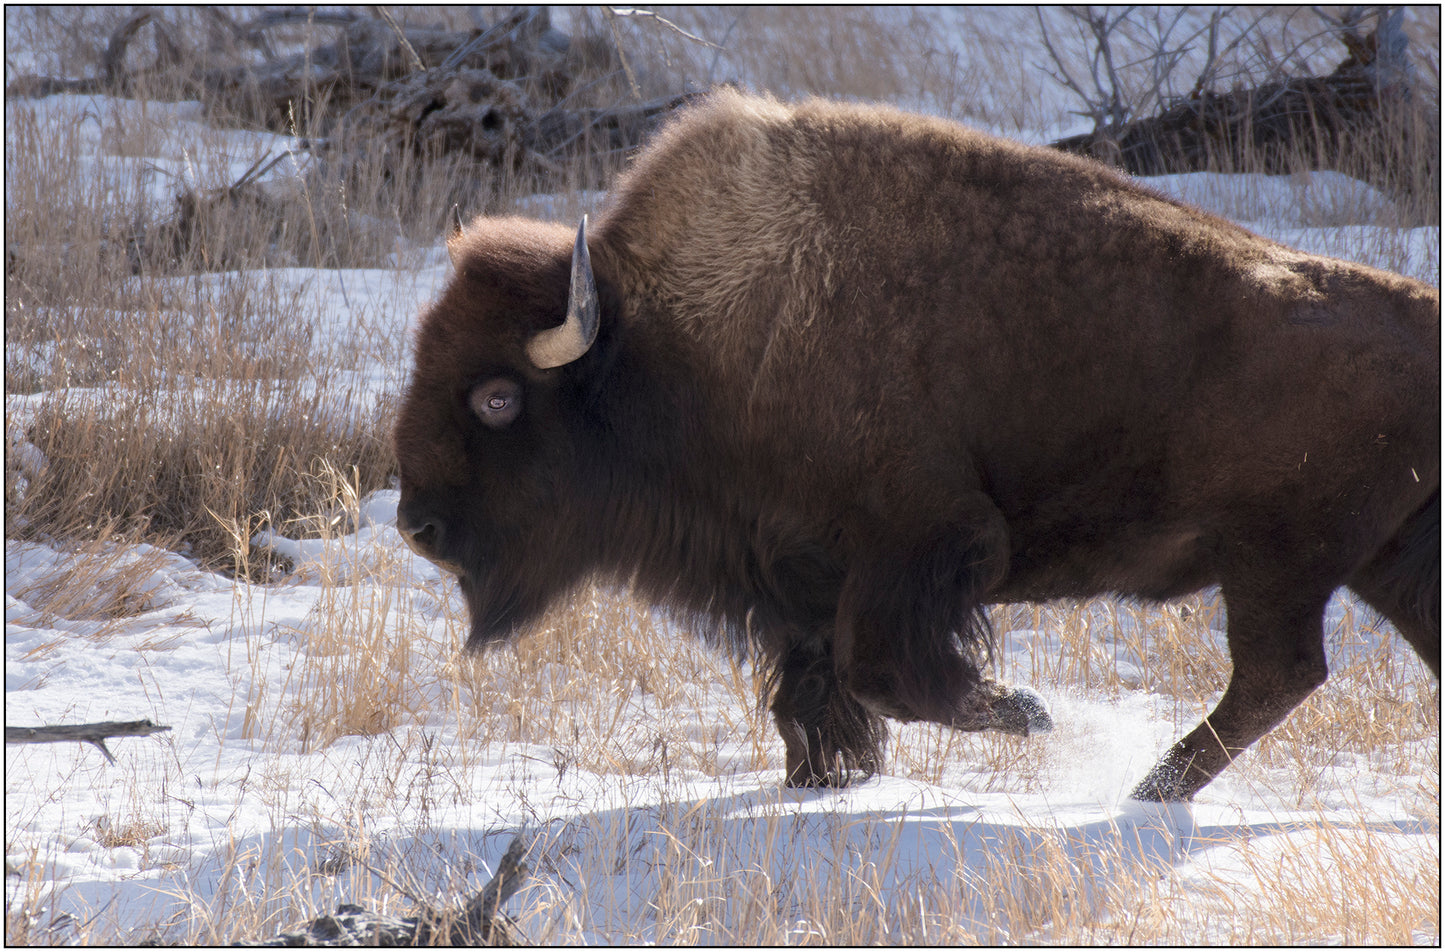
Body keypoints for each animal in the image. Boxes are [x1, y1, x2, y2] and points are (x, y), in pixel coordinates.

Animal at [392, 89, 1439, 801]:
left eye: (496, 397)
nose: (416, 526)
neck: (668, 336)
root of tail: (1420, 317)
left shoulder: (921, 544)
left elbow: (885, 674)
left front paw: (1028, 715)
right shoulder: (797, 579)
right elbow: (815, 689)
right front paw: (827, 775)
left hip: (1277, 562)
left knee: (1277, 673)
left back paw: (1143, 790)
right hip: (1378, 559)